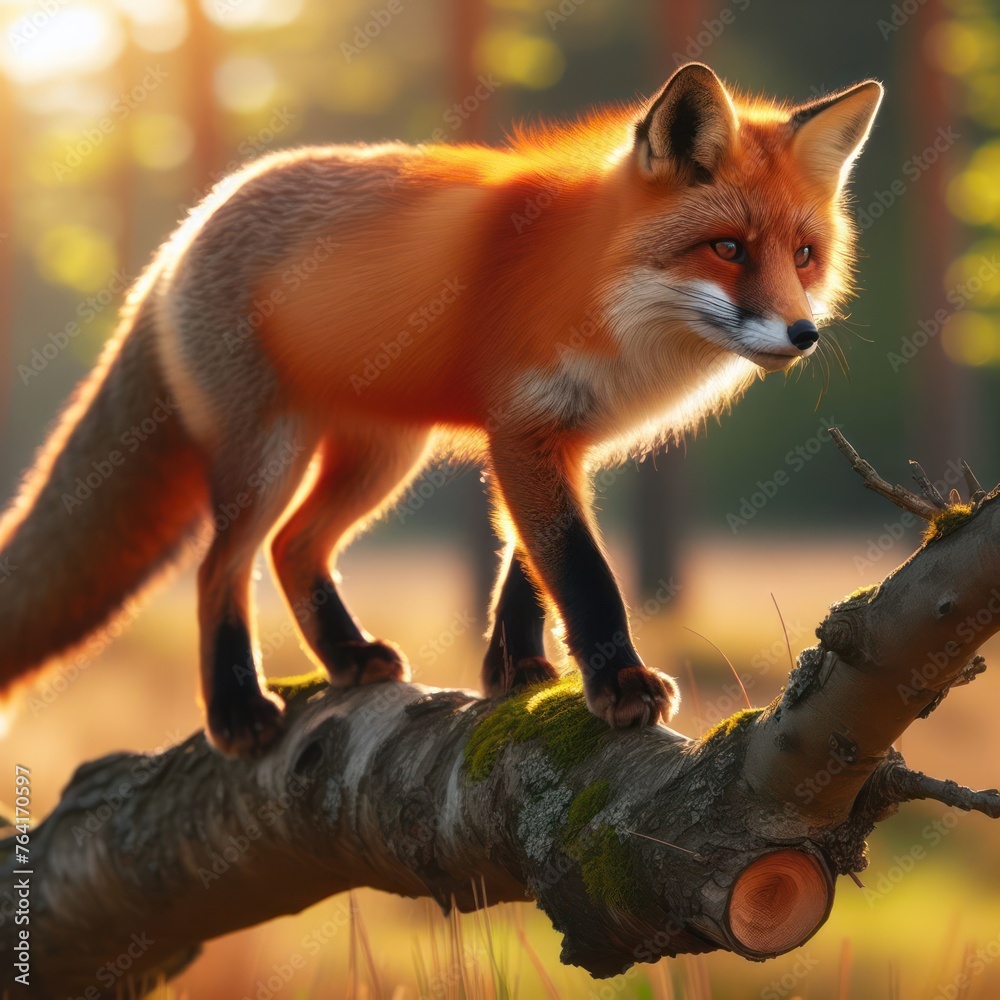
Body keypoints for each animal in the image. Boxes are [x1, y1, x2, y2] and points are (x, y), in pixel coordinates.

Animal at [0, 63, 882, 756]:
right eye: (727, 249)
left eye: (804, 255)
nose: (802, 335)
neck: (606, 299)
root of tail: (186, 230)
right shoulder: (525, 430)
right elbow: (581, 569)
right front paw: (619, 680)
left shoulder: (562, 441)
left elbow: (526, 569)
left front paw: (515, 673)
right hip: (272, 456)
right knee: (223, 566)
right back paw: (238, 711)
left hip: (382, 456)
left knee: (293, 547)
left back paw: (348, 658)